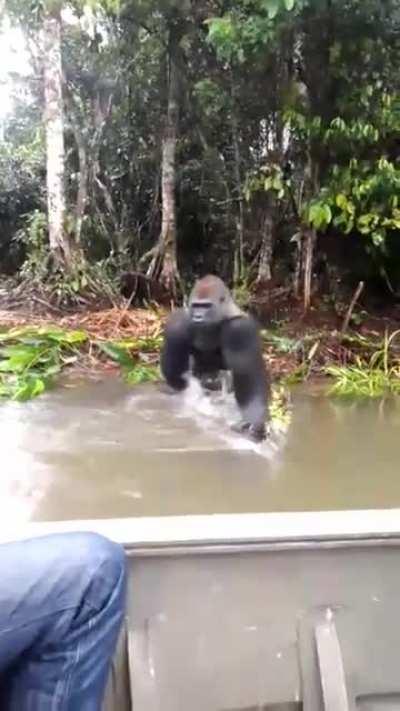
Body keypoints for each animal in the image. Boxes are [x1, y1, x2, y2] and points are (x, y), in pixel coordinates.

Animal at [160, 275, 270, 441]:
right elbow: (174, 368)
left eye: (206, 306)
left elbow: (247, 374)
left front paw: (254, 421)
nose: (198, 316)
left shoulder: (240, 328)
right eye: (196, 306)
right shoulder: (178, 321)